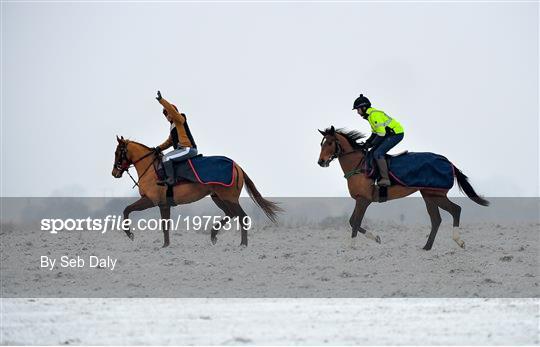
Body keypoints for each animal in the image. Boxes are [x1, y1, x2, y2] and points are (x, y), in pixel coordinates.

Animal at [111, 136, 280, 247]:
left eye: (118, 152)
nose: (114, 172)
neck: (153, 170)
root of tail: (236, 166)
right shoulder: (164, 204)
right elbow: (165, 225)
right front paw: (166, 245)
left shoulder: (151, 201)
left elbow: (127, 210)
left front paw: (130, 234)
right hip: (218, 198)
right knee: (231, 214)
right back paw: (214, 235)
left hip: (229, 198)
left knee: (241, 217)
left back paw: (243, 244)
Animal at [316, 126, 490, 251]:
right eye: (321, 143)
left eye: (330, 143)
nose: (321, 161)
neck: (359, 166)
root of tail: (448, 162)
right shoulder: (360, 200)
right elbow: (353, 221)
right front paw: (375, 238)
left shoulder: (363, 200)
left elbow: (354, 221)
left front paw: (354, 245)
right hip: (428, 195)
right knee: (436, 219)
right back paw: (427, 247)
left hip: (436, 195)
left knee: (455, 210)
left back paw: (459, 241)